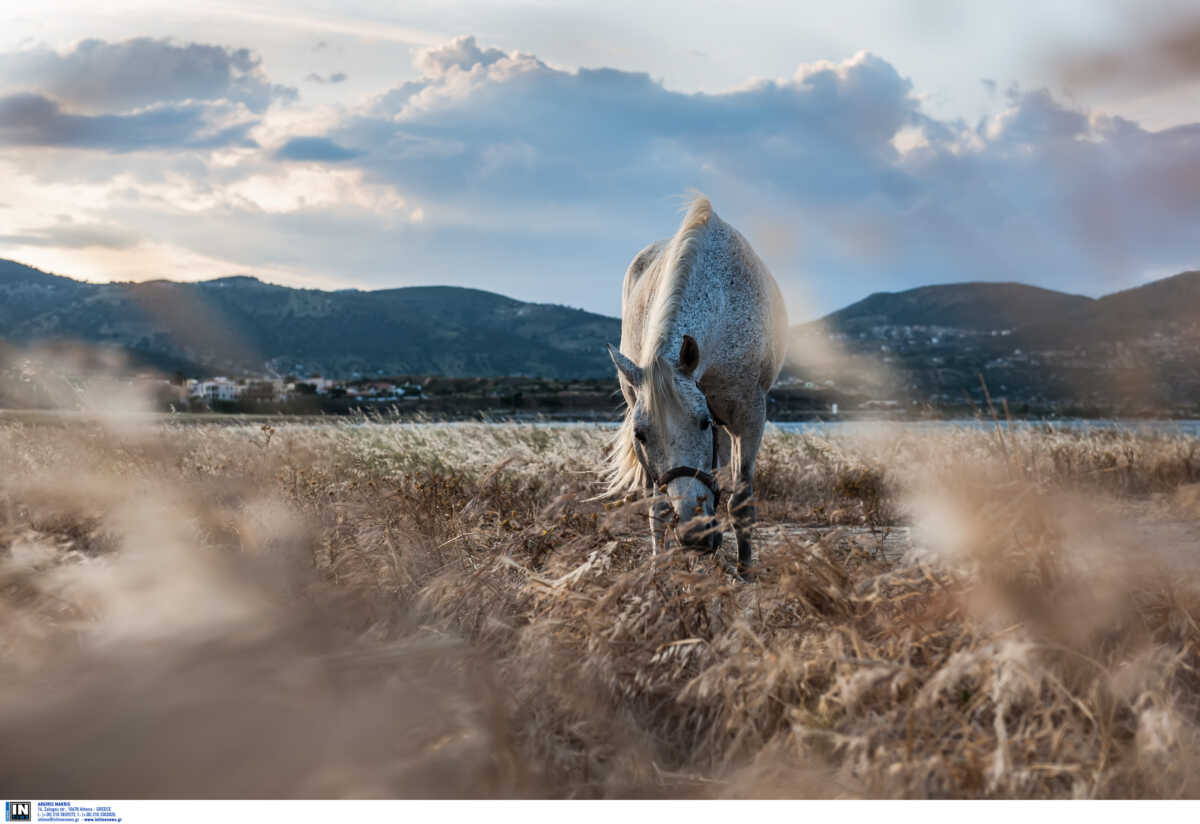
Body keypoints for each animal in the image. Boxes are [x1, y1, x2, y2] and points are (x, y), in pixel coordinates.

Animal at [604, 195, 792, 570]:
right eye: (640, 435)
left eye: (703, 422)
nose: (693, 533)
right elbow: (657, 509)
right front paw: (658, 568)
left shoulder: (748, 418)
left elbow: (741, 504)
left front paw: (744, 572)